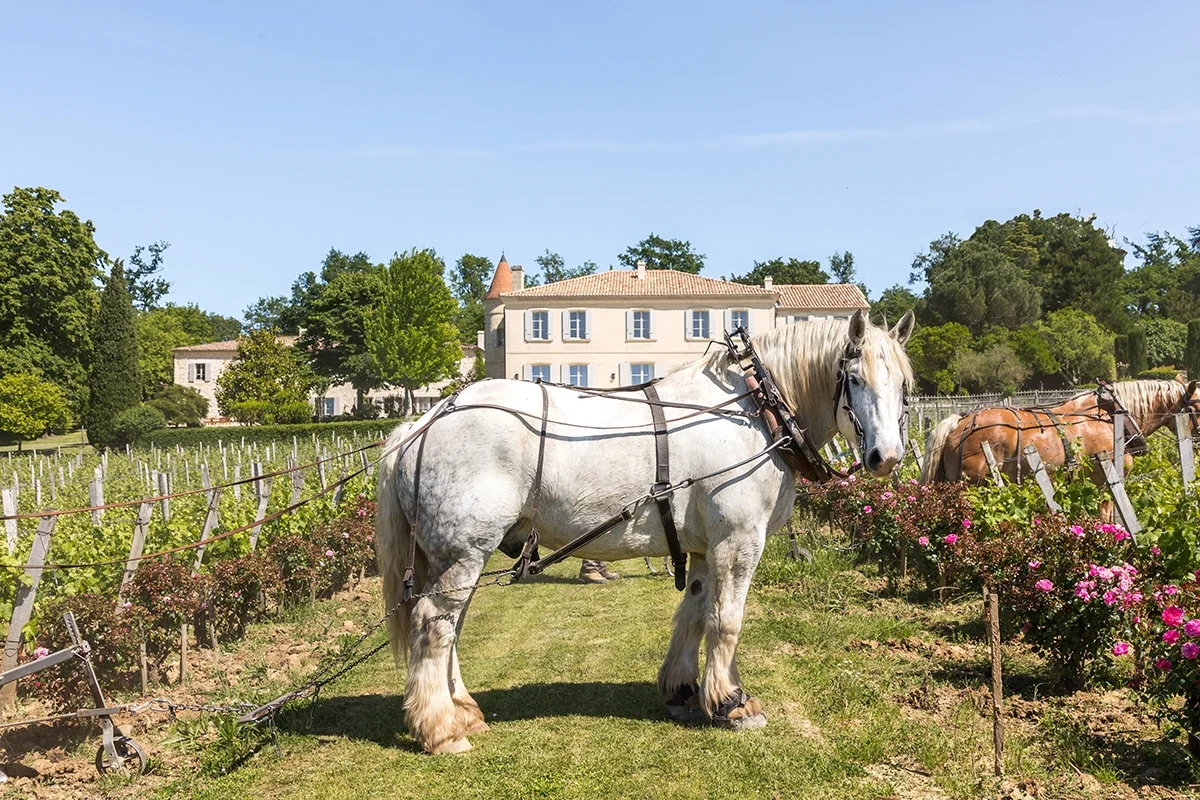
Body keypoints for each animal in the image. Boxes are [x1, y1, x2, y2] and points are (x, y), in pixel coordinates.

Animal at [379, 309, 912, 753]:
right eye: (854, 379)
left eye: (904, 385)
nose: (886, 457)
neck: (756, 411)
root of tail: (424, 421)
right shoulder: (738, 540)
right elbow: (727, 620)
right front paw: (732, 701)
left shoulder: (705, 548)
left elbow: (694, 614)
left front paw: (683, 690)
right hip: (463, 552)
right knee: (433, 624)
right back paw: (441, 729)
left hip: (458, 555)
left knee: (451, 626)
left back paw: (464, 712)